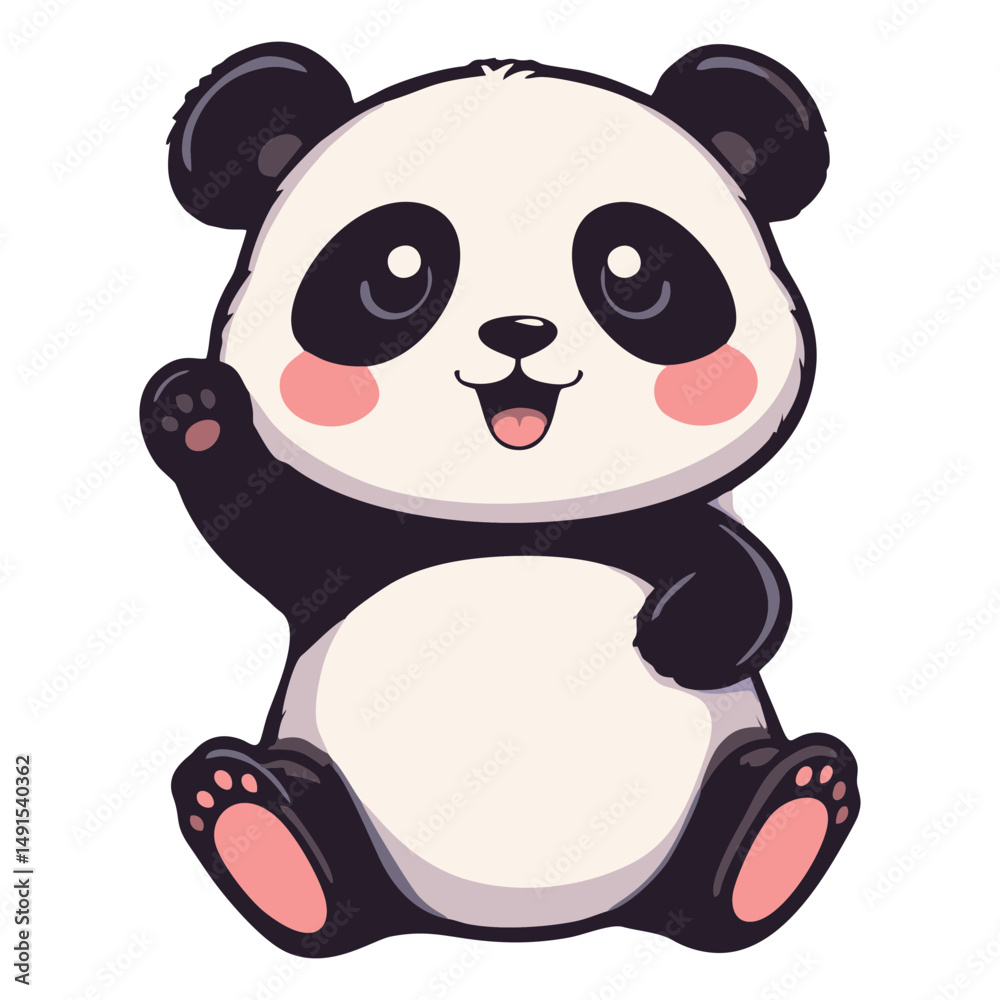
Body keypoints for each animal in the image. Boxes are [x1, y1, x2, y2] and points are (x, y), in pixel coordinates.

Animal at [141, 42, 859, 958]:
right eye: (398, 270)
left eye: (630, 267)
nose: (519, 332)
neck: (514, 514)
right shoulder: (357, 551)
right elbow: (273, 530)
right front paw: (195, 410)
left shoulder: (652, 521)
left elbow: (742, 570)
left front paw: (677, 629)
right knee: (329, 865)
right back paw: (260, 826)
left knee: (719, 862)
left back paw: (784, 814)